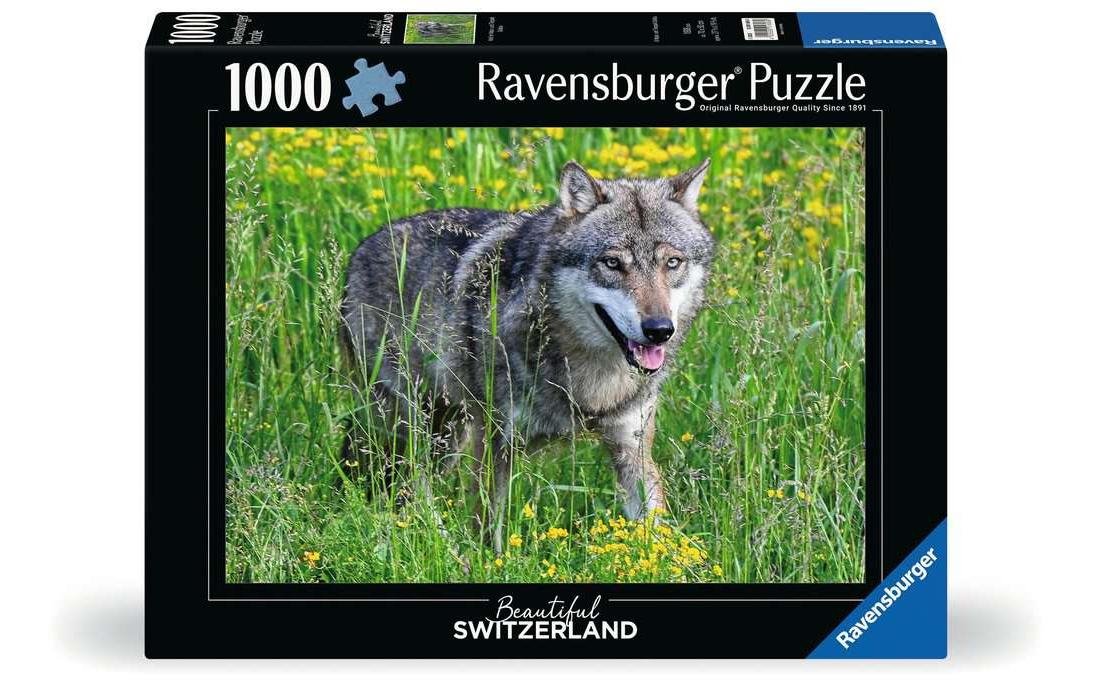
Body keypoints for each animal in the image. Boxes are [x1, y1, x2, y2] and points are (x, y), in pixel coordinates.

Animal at [340, 159, 714, 551]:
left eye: (672, 263)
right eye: (612, 263)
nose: (659, 329)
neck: (591, 377)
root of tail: (360, 250)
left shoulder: (632, 449)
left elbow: (657, 534)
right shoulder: (494, 444)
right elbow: (486, 528)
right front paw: (487, 561)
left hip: (447, 436)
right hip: (414, 426)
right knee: (407, 485)